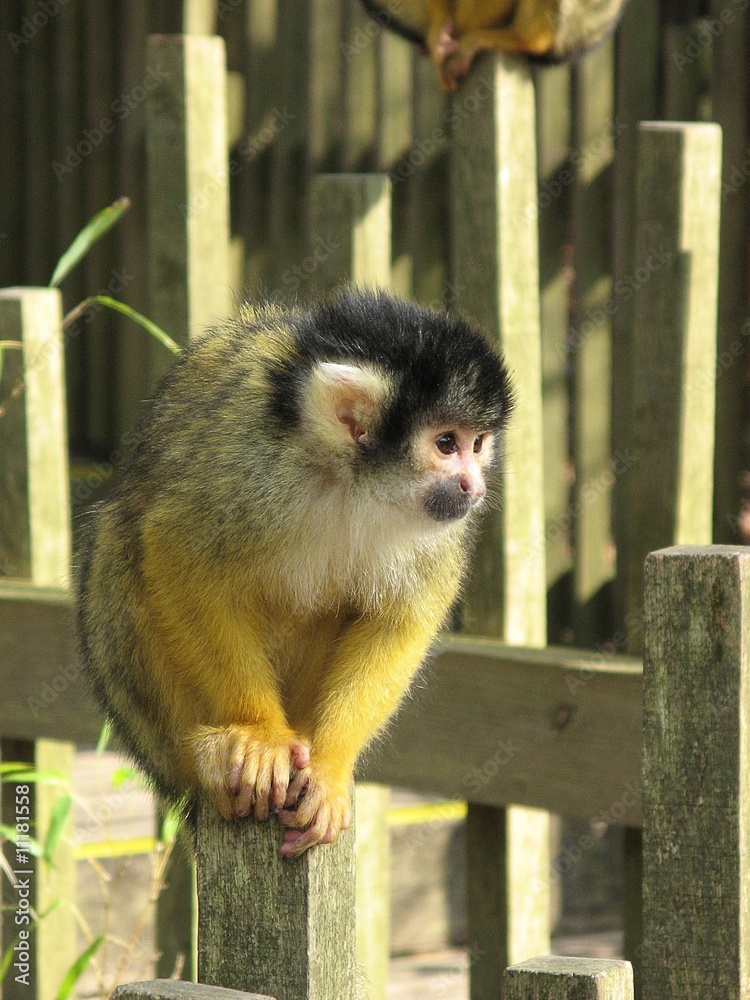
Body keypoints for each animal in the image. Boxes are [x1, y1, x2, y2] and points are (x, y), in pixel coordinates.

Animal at [77, 288, 514, 857]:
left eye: (478, 443)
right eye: (446, 444)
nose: (473, 486)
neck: (351, 479)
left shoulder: (437, 525)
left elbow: (399, 620)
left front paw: (329, 765)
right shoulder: (250, 464)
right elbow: (177, 553)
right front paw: (258, 733)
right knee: (120, 539)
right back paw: (208, 755)